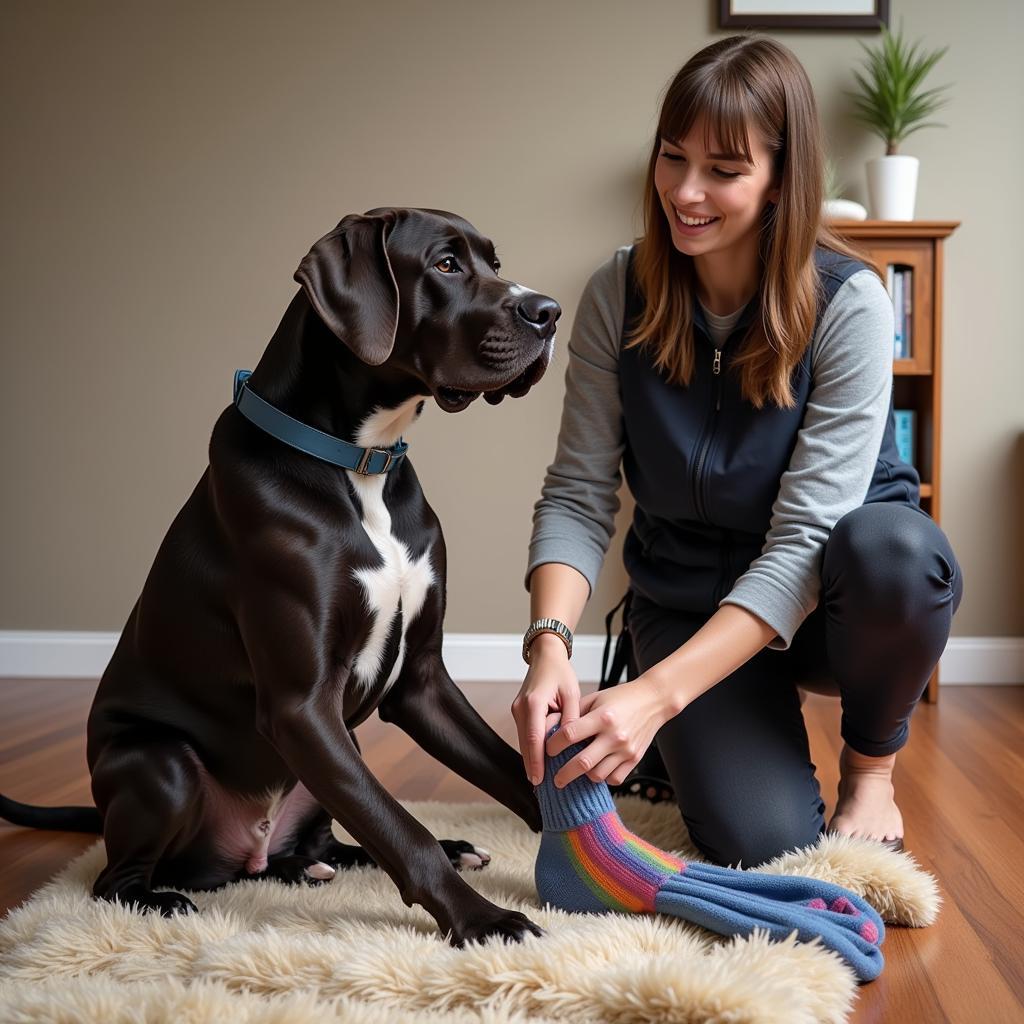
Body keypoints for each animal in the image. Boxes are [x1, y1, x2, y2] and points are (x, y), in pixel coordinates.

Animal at [0, 203, 561, 946]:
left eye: (494, 263)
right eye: (444, 265)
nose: (550, 312)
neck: (361, 460)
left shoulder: (420, 682)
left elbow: (498, 772)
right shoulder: (301, 706)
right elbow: (401, 828)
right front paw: (484, 920)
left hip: (328, 759)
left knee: (326, 839)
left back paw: (355, 858)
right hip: (162, 764)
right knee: (116, 879)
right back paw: (162, 899)